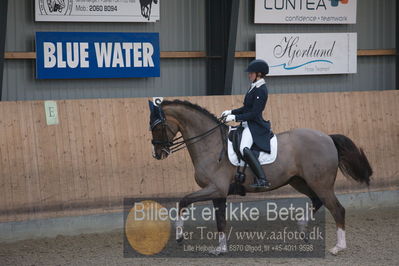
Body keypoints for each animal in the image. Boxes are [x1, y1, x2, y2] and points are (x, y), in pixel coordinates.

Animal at [148, 99, 374, 256]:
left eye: (158, 126)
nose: (158, 154)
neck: (210, 144)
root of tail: (327, 137)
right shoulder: (218, 193)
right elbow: (220, 221)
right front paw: (220, 249)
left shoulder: (216, 189)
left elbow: (184, 201)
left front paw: (179, 236)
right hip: (300, 181)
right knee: (317, 200)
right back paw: (302, 229)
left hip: (321, 183)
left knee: (337, 209)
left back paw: (338, 247)